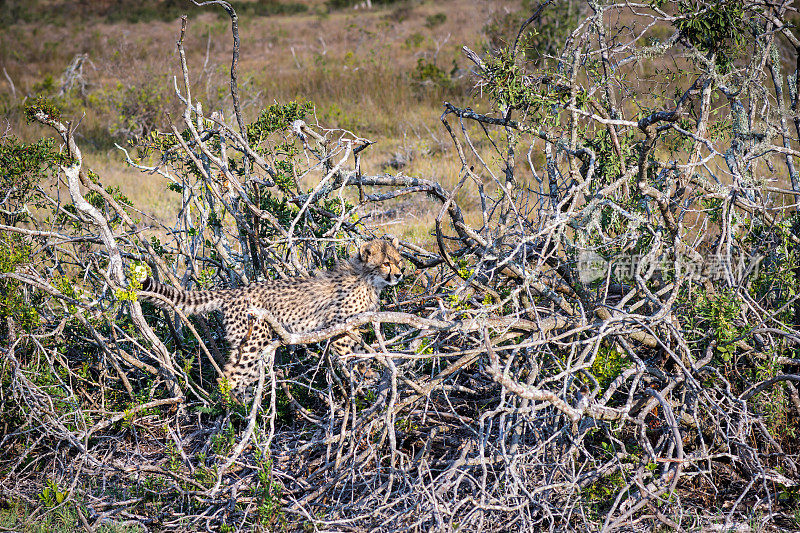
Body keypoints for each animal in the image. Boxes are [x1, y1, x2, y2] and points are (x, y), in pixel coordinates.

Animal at [138, 237, 404, 394]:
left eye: (399, 261)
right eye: (386, 263)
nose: (400, 274)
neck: (367, 279)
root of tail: (236, 290)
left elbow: (359, 352)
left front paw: (369, 373)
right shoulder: (340, 328)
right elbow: (350, 356)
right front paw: (363, 378)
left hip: (245, 341)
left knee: (236, 371)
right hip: (254, 340)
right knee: (231, 376)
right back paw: (234, 416)